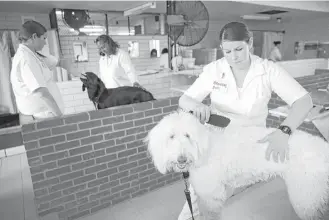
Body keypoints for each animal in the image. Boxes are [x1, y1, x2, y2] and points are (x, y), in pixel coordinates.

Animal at [144, 111, 328, 219]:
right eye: (171, 136)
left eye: (188, 135)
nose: (181, 159)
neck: (205, 147)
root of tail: (323, 147)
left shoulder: (211, 196)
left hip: (306, 197)